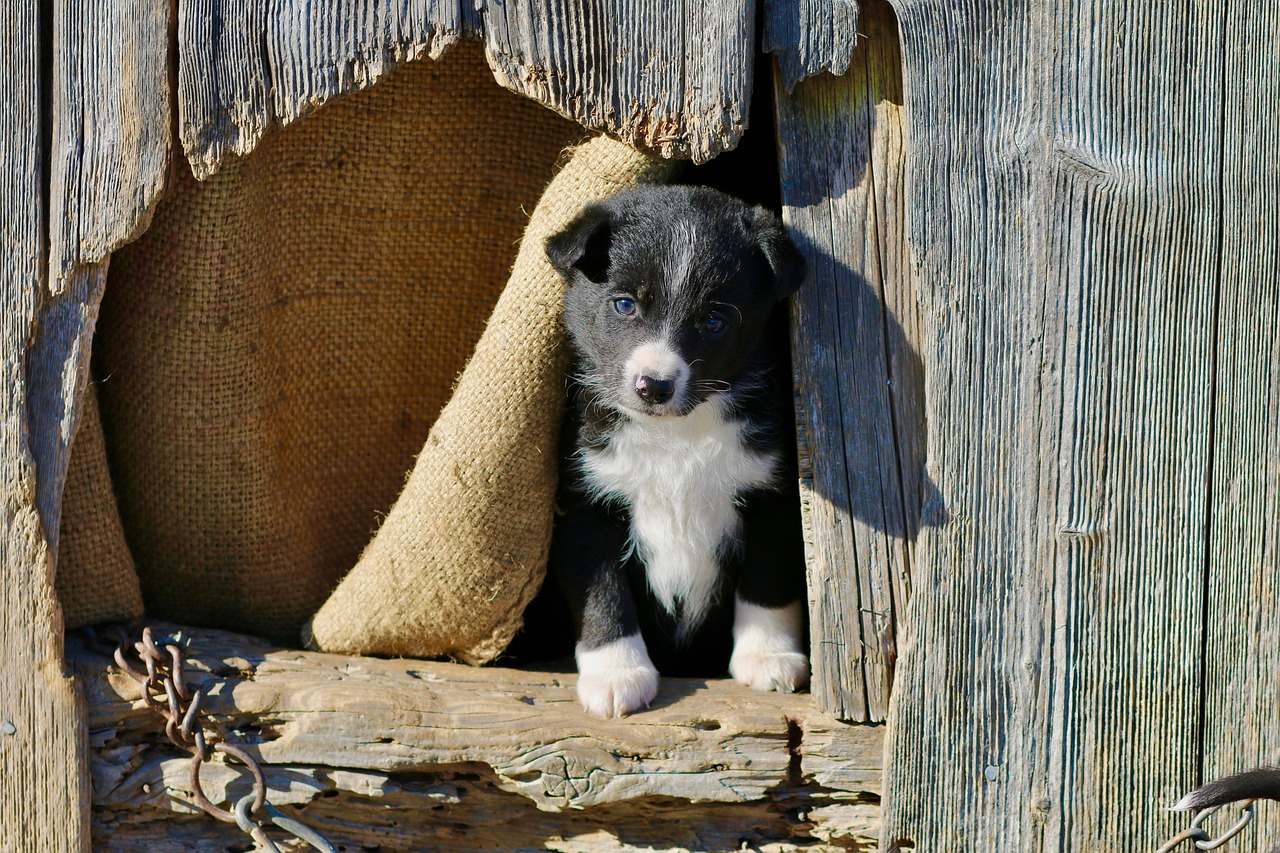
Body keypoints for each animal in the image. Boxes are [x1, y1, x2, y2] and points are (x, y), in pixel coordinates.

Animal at [542, 185, 803, 717]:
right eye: (624, 304)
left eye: (714, 320)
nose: (654, 386)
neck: (675, 435)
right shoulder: (584, 500)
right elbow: (603, 589)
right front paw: (616, 675)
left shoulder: (775, 492)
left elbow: (768, 579)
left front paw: (768, 657)